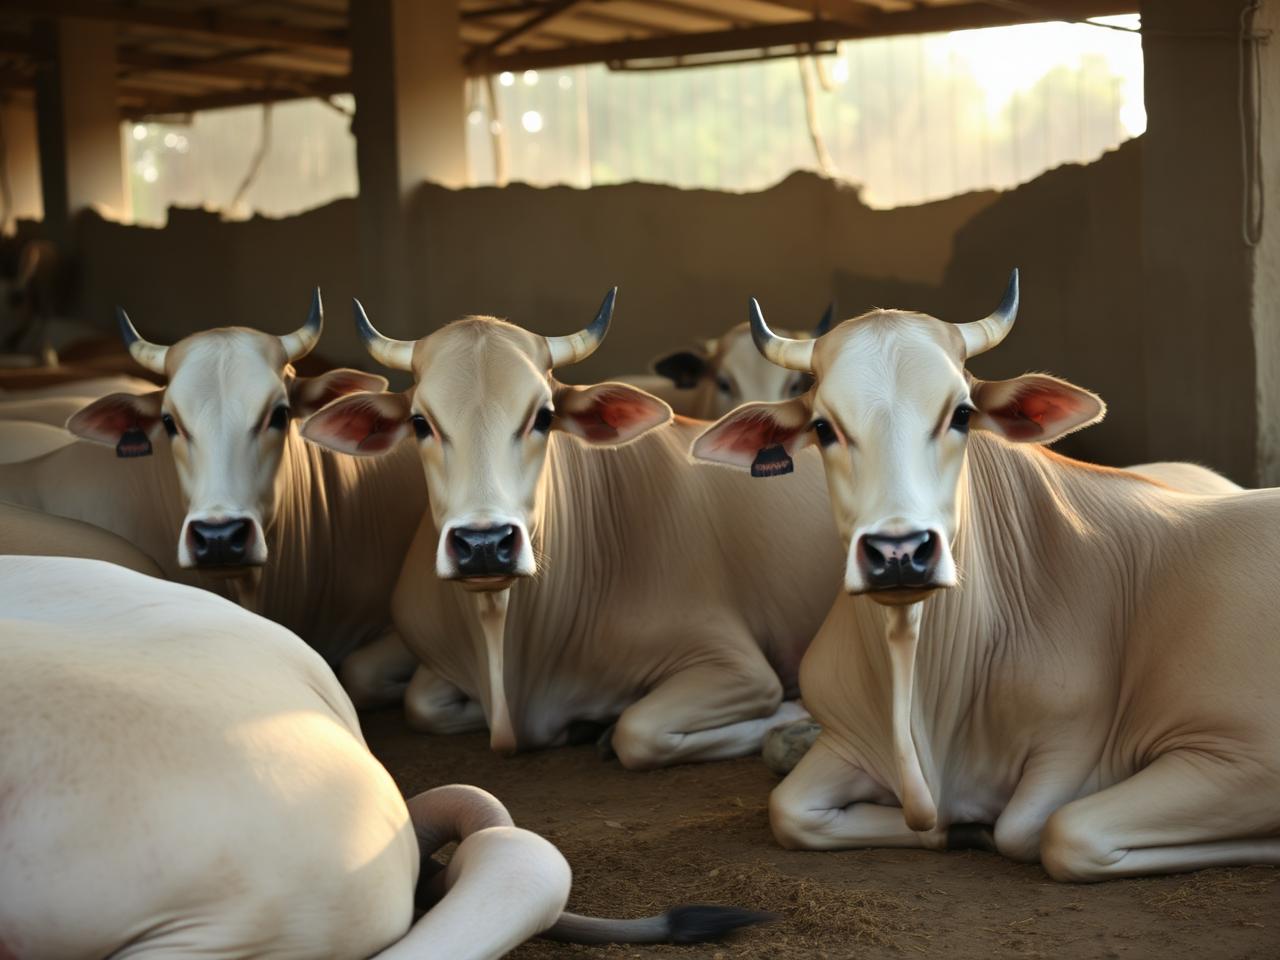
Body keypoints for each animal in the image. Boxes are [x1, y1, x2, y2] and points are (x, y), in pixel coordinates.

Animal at [300, 289, 843, 766]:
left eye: (544, 417)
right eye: (419, 423)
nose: (484, 543)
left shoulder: (735, 664)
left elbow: (638, 732)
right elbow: (419, 704)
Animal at [690, 271, 1280, 880]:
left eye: (962, 414)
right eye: (823, 427)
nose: (899, 551)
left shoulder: (1118, 748)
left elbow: (1039, 829)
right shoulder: (846, 740)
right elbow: (788, 811)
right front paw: (954, 827)